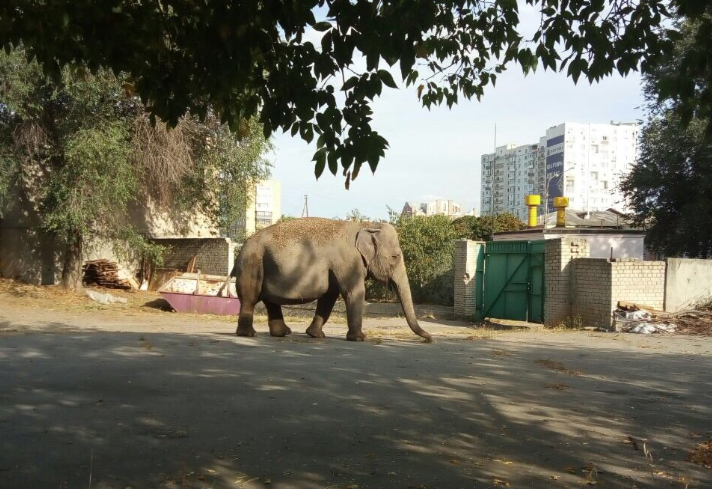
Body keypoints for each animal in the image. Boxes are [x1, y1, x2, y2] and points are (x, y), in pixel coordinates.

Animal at [221, 217, 434, 344]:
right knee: (250, 297)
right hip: (253, 262)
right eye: (395, 257)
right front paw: (359, 339)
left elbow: (329, 297)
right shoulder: (348, 261)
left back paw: (283, 333)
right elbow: (354, 292)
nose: (430, 339)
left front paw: (315, 335)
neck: (364, 224)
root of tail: (242, 248)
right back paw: (249, 334)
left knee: (270, 301)